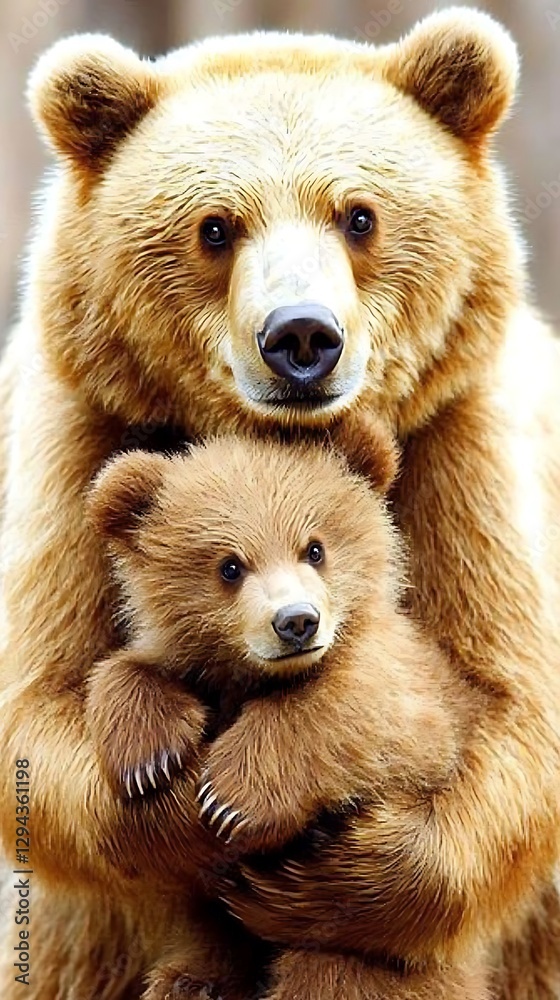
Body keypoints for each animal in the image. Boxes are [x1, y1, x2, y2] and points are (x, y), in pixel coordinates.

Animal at [85, 431, 489, 1000]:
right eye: (230, 565)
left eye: (314, 548)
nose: (296, 621)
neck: (256, 676)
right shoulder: (196, 667)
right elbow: (126, 670)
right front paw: (147, 759)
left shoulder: (412, 686)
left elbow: (376, 717)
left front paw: (231, 797)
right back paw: (191, 982)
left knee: (336, 968)